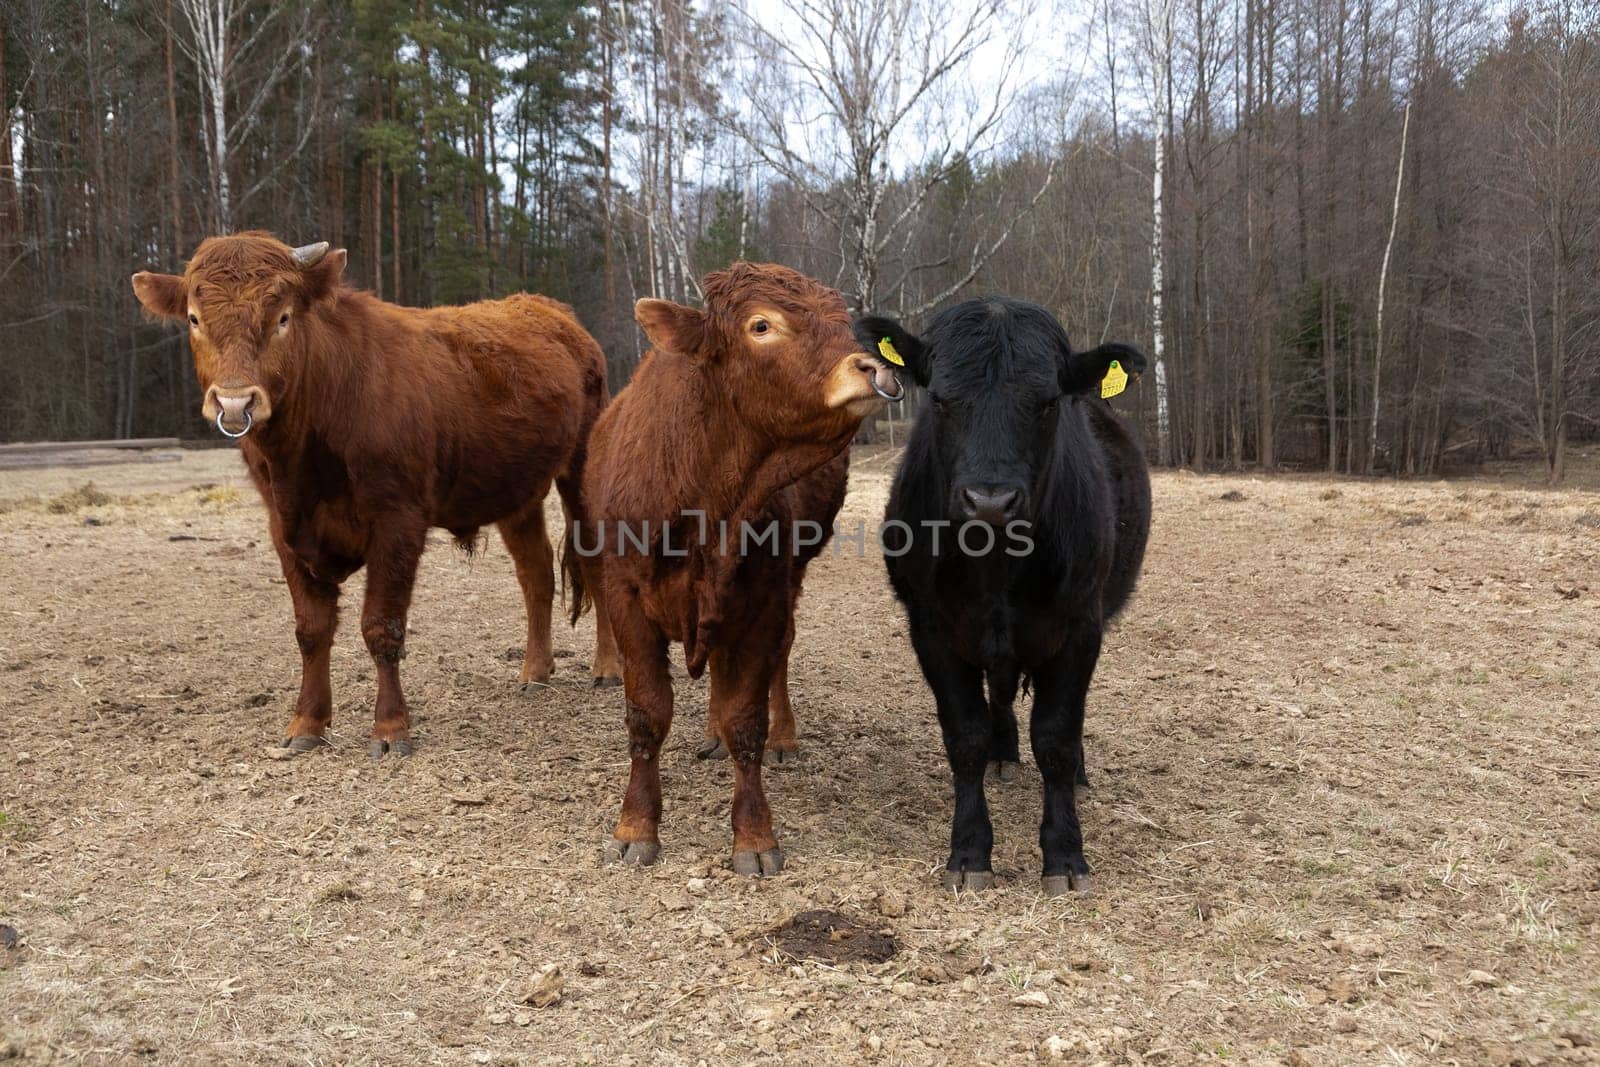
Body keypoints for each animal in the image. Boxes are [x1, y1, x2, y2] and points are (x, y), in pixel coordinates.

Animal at [132, 230, 617, 755]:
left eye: (283, 317)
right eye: (195, 319)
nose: (236, 402)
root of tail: (551, 311)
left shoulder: (397, 521)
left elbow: (381, 627)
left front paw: (390, 728)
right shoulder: (284, 527)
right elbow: (312, 630)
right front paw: (307, 723)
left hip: (581, 472)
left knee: (594, 562)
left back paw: (608, 667)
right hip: (516, 490)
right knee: (536, 572)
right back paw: (535, 671)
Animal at [576, 260, 902, 876]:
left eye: (843, 322)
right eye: (762, 325)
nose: (875, 369)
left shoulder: (763, 601)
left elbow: (746, 717)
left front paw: (753, 835)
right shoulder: (626, 597)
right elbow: (647, 713)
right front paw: (635, 827)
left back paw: (784, 738)